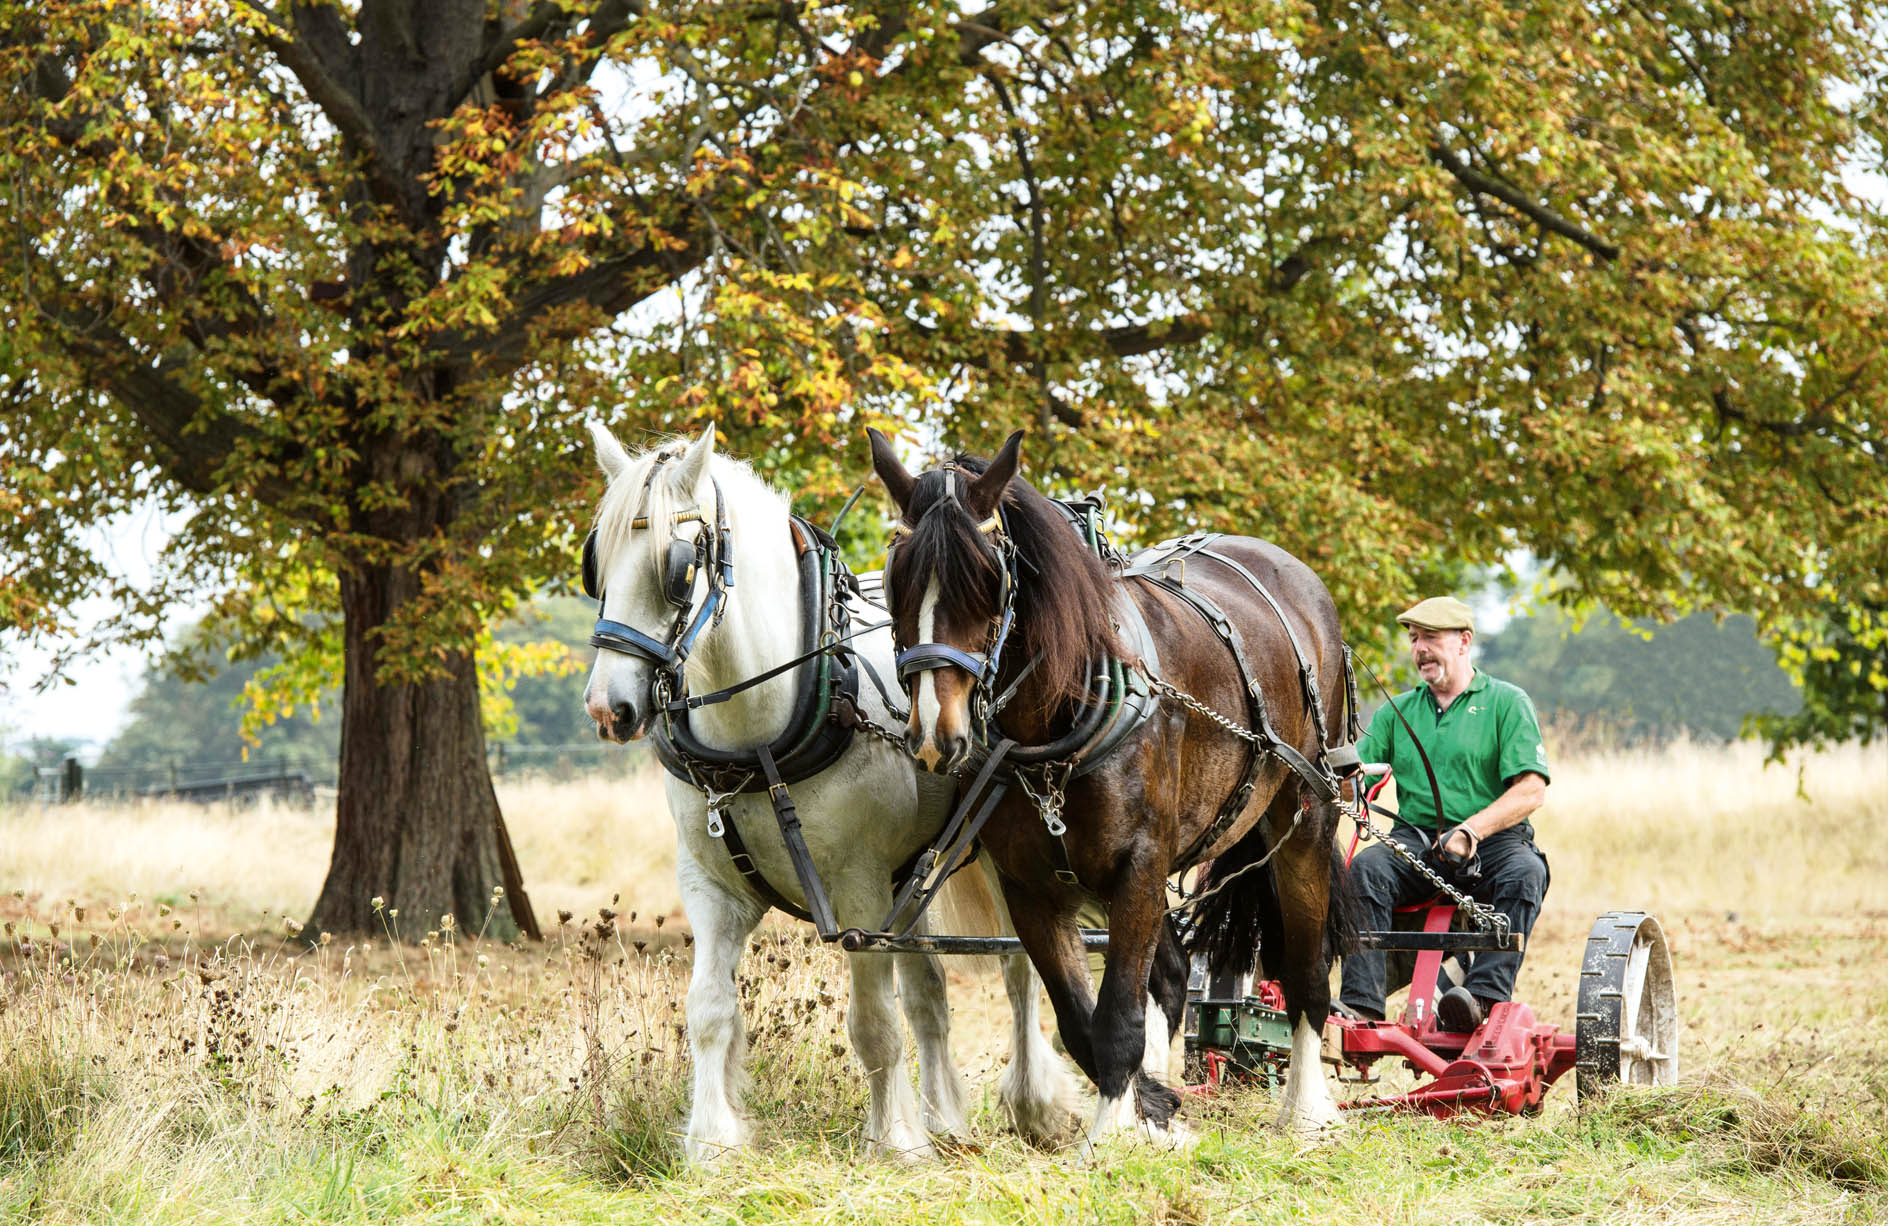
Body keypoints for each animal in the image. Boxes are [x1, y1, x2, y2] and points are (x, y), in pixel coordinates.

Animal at [573, 423, 1087, 1156]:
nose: (608, 708)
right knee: (930, 990)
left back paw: (1032, 1105)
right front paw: (712, 1140)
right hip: (914, 877)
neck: (759, 735)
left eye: (679, 568)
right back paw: (945, 1119)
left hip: (994, 854)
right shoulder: (711, 886)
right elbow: (708, 1009)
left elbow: (873, 1020)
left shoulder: (859, 891)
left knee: (1019, 972)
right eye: (597, 561)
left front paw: (893, 1140)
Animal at [868, 428, 1359, 1140]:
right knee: (1174, 976)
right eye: (897, 578)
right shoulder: (1032, 889)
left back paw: (1306, 1107)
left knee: (1304, 974)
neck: (1056, 724)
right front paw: (1142, 1111)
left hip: (1307, 816)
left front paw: (1108, 1134)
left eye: (987, 578)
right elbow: (1081, 1021)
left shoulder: (1138, 868)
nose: (937, 733)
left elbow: (1117, 1017)